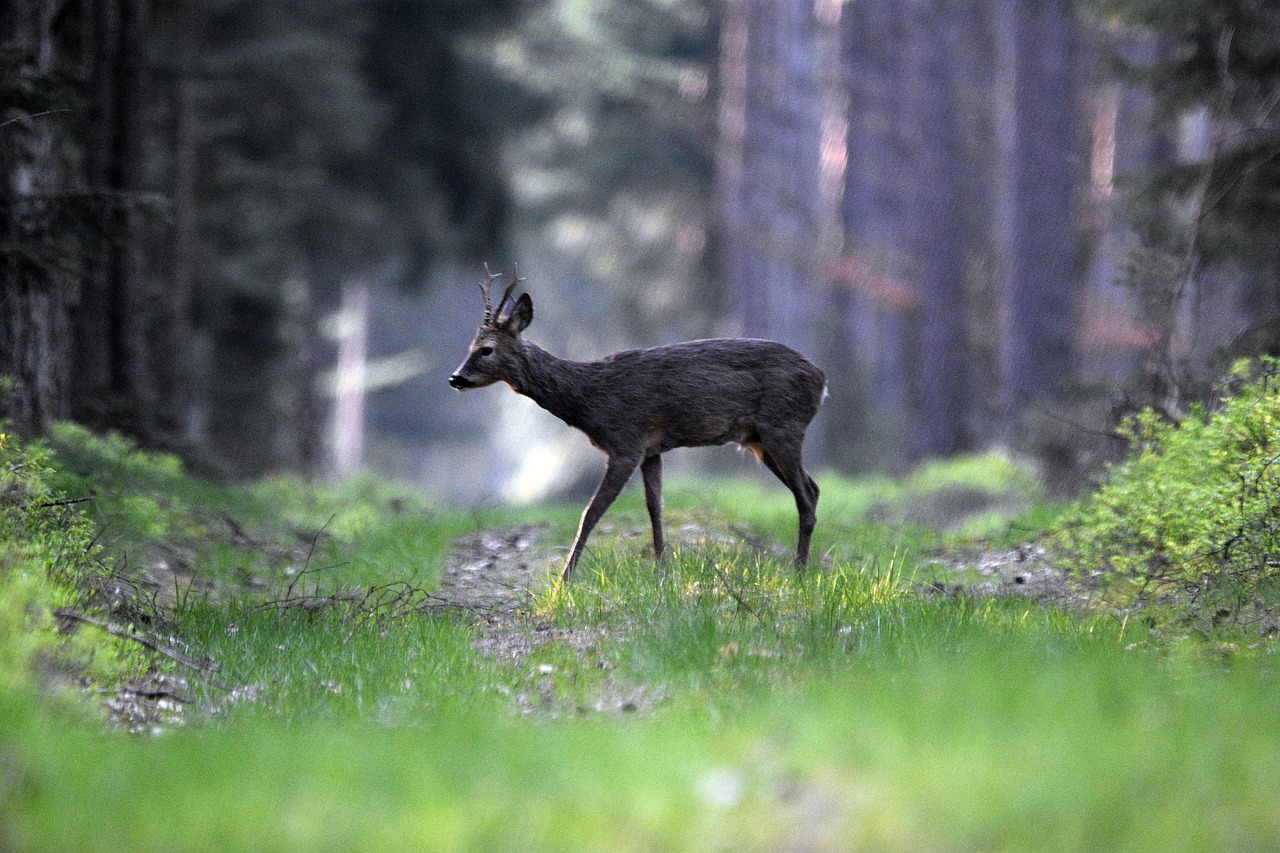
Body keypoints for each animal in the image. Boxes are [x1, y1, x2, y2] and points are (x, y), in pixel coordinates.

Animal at [450, 263, 829, 578]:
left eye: (486, 349)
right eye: (469, 346)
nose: (455, 378)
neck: (588, 398)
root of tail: (822, 379)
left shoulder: (626, 442)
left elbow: (591, 512)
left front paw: (564, 580)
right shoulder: (652, 450)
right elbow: (654, 507)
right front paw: (661, 568)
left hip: (783, 425)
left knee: (806, 495)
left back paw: (799, 571)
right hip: (759, 440)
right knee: (812, 488)